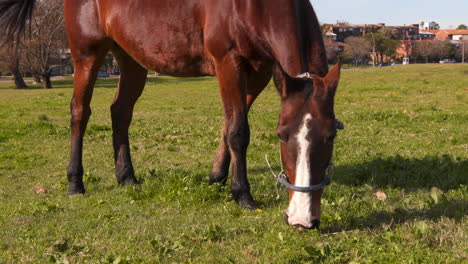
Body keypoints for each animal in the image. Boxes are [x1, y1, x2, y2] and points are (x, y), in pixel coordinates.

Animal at [1, 0, 342, 229]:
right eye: (281, 136)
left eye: (330, 136)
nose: (302, 219)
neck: (252, 7)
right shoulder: (228, 63)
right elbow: (238, 130)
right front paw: (242, 194)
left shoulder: (259, 71)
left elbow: (229, 125)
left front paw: (217, 177)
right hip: (87, 54)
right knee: (80, 112)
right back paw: (76, 183)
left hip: (131, 56)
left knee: (120, 111)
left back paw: (127, 177)